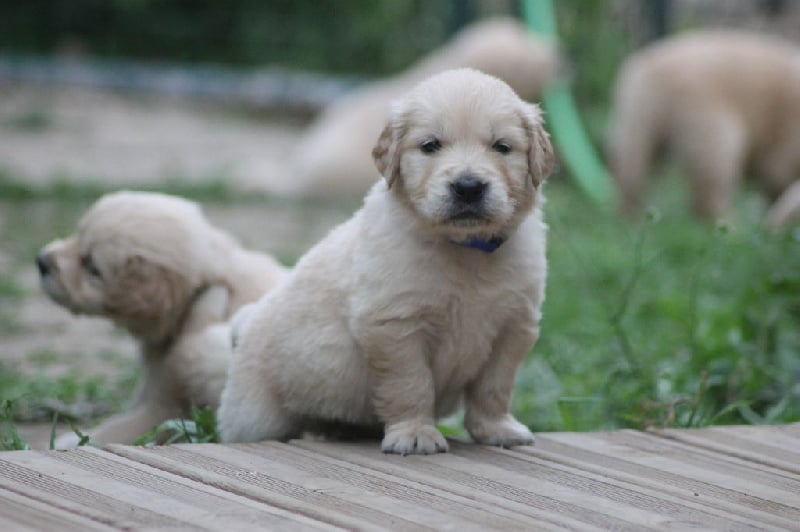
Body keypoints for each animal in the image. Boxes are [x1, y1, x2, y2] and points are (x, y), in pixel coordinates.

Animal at [38, 189, 288, 446]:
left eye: (92, 268)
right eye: (77, 235)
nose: (41, 262)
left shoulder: (167, 404)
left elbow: (124, 427)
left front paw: (70, 440)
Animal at [219, 68, 556, 456]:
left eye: (502, 146)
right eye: (430, 146)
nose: (469, 186)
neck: (463, 249)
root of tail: (248, 320)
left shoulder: (513, 326)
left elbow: (494, 387)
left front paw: (497, 429)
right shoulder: (395, 324)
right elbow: (411, 383)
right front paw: (415, 433)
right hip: (254, 414)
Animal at [608, 30, 800, 221]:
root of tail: (649, 72)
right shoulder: (787, 133)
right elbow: (779, 170)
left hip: (638, 114)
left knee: (635, 163)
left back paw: (632, 213)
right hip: (705, 112)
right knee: (714, 167)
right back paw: (727, 219)